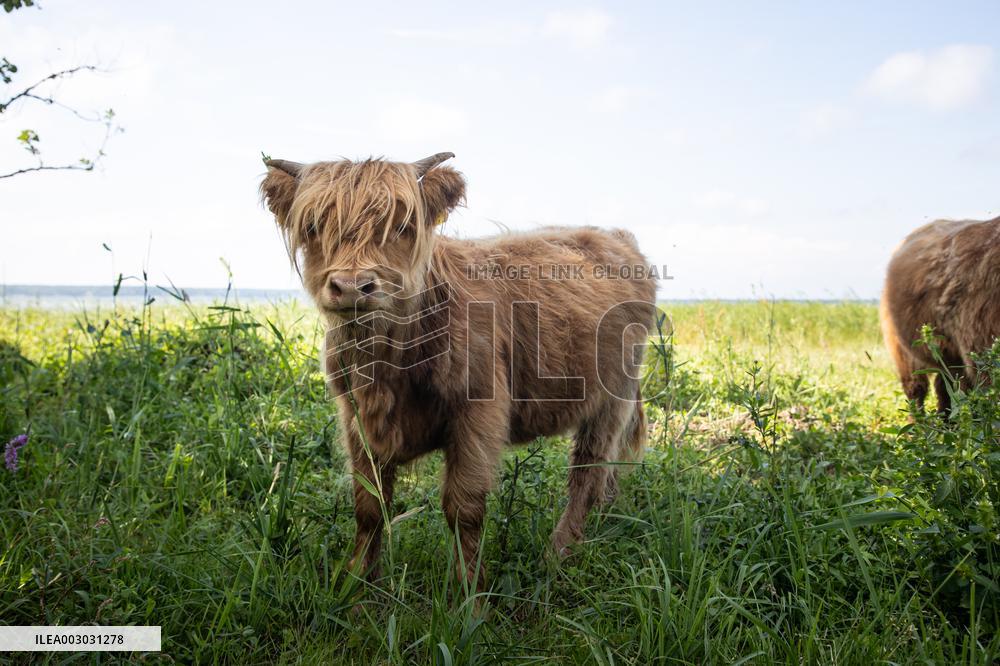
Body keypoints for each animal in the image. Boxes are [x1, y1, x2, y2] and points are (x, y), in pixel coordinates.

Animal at [260, 153, 657, 588]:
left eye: (402, 226)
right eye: (313, 226)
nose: (351, 286)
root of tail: (615, 237)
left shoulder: (478, 413)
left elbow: (463, 508)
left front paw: (469, 593)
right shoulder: (356, 419)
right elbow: (368, 504)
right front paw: (356, 582)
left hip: (613, 395)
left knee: (588, 470)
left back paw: (559, 553)